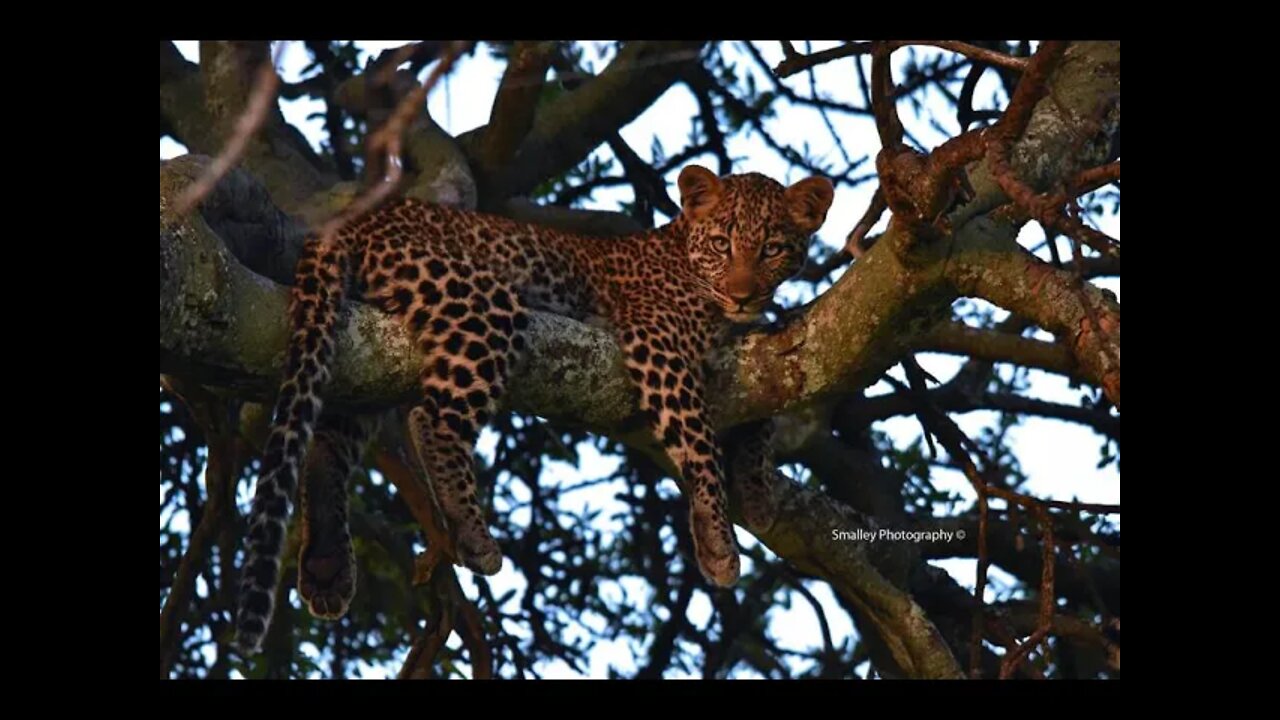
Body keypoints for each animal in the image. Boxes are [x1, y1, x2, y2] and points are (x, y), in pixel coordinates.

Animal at [234, 163, 834, 650]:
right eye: (722, 242)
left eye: (773, 249)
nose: (742, 294)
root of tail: (355, 221)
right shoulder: (659, 340)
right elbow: (699, 439)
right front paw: (717, 539)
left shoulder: (749, 355)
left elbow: (766, 413)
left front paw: (756, 491)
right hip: (481, 301)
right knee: (432, 419)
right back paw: (473, 534)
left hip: (370, 362)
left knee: (328, 443)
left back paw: (326, 565)